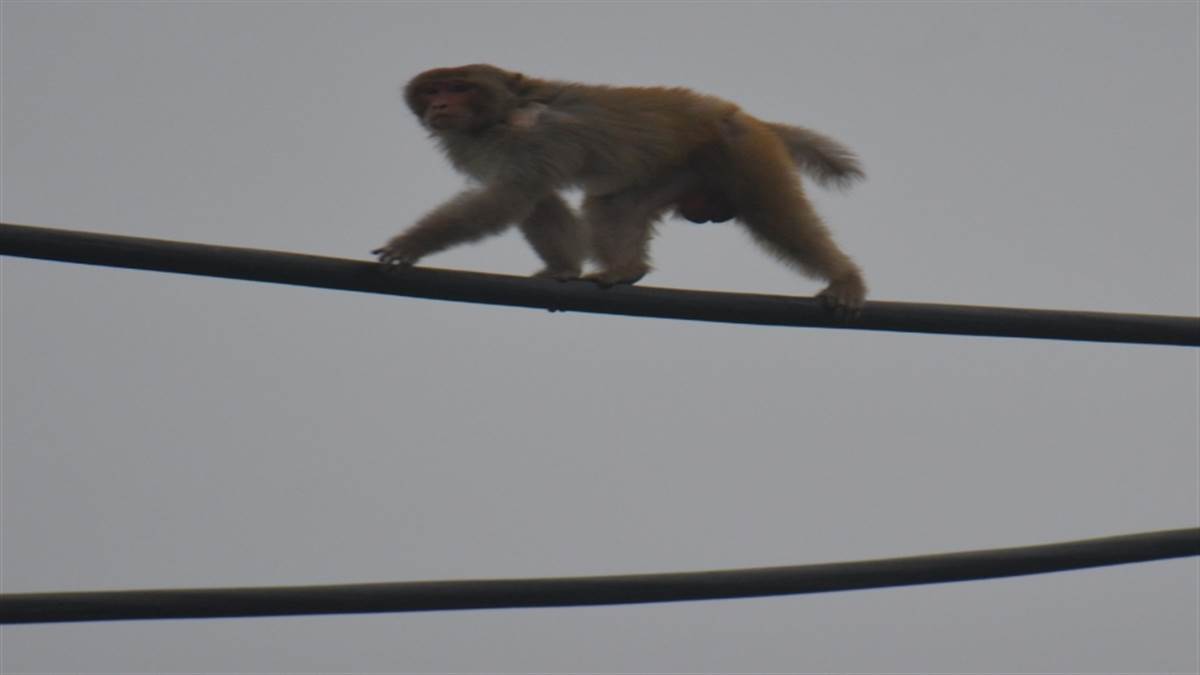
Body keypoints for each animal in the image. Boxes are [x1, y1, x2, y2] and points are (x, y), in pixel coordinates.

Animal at [374, 64, 868, 313]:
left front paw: (411, 245)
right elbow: (537, 199)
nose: (440, 105)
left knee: (777, 217)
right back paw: (626, 269)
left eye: (458, 87)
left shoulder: (538, 133)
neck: (499, 116)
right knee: (614, 203)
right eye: (435, 89)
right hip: (679, 169)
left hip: (743, 152)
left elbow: (511, 197)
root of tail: (746, 116)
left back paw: (844, 277)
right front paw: (563, 269)